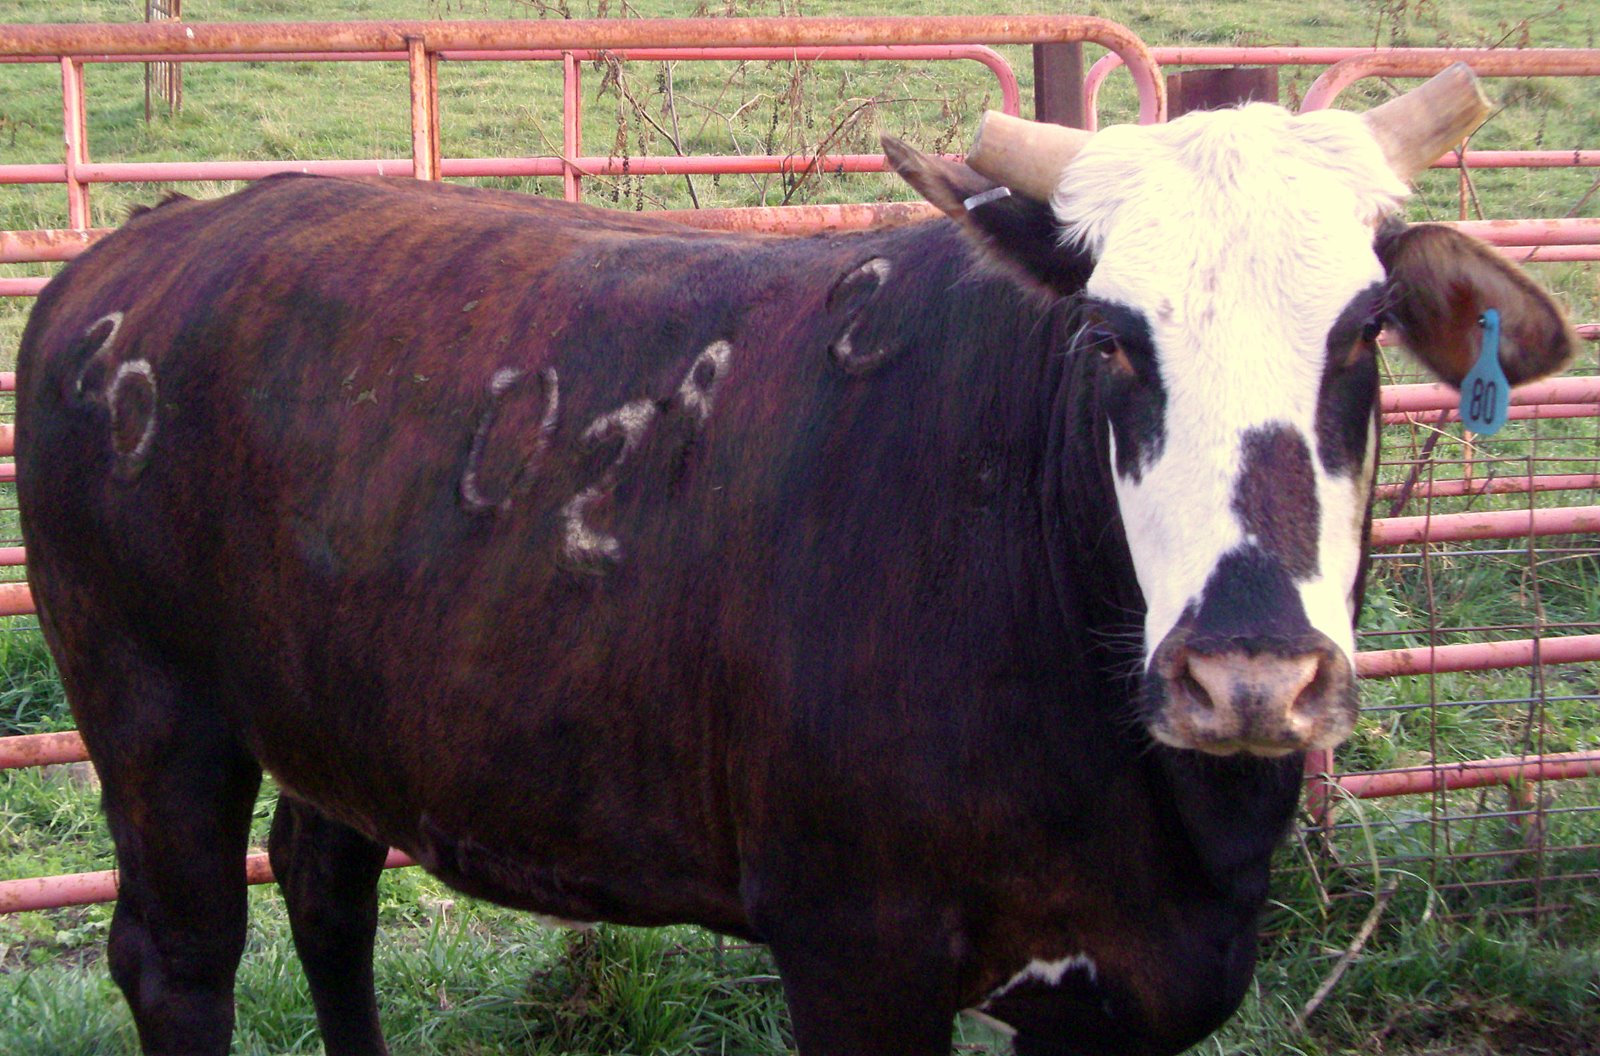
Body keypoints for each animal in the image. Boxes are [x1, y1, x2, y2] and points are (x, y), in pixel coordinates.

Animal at [15, 63, 1575, 1056]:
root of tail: (142, 249)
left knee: (328, 891)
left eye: (1365, 329)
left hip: (342, 709)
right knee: (180, 957)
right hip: (152, 716)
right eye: (1109, 336)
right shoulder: (856, 949)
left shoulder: (1117, 987)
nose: (1247, 672)